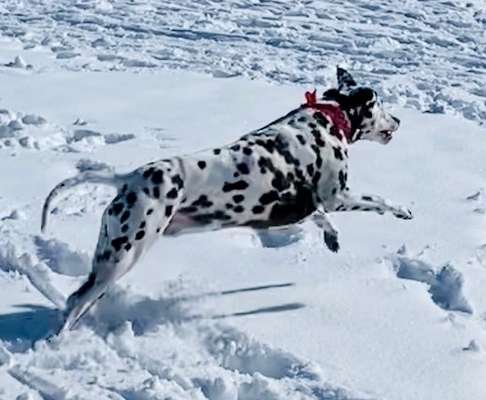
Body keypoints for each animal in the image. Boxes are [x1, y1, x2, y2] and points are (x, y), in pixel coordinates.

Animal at [41, 68, 412, 332]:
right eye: (380, 106)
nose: (398, 119)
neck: (327, 118)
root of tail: (128, 178)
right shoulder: (338, 196)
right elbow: (378, 200)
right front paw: (403, 209)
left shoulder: (292, 208)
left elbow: (318, 217)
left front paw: (331, 237)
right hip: (123, 255)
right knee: (77, 301)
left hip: (109, 255)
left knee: (76, 298)